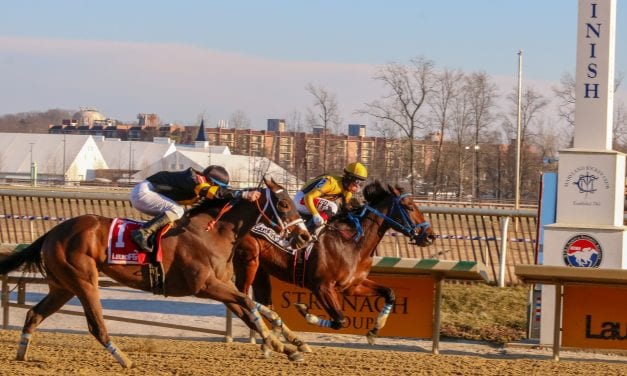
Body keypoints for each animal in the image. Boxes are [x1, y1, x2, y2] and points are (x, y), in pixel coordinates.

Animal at [0, 178, 312, 368]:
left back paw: (21, 355)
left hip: (62, 287)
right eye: (283, 204)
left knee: (33, 315)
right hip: (84, 281)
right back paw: (125, 360)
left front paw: (290, 345)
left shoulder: (221, 287)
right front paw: (275, 341)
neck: (212, 234)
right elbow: (249, 303)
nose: (305, 237)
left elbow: (251, 309)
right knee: (96, 326)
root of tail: (53, 232)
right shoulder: (206, 286)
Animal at [233, 181, 434, 348]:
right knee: (242, 295)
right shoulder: (321, 287)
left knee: (260, 301)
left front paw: (374, 331)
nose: (430, 236)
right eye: (409, 206)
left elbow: (389, 293)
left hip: (261, 270)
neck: (353, 243)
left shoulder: (352, 286)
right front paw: (305, 311)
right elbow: (340, 321)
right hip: (248, 263)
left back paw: (290, 338)